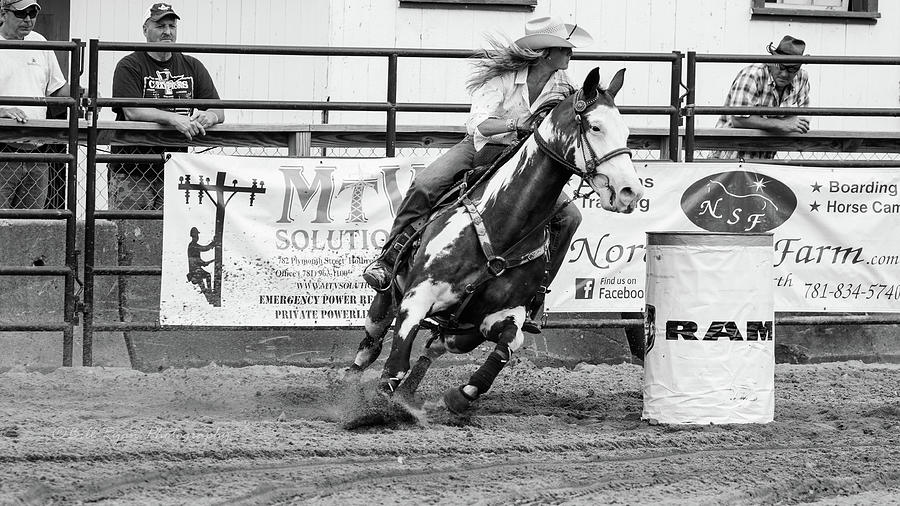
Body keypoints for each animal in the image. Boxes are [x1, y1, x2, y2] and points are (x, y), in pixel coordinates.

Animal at [348, 67, 644, 416]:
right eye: (596, 126)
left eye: (626, 133)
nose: (630, 192)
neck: (502, 221)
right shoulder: (415, 298)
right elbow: (395, 363)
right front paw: (375, 410)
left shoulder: (504, 314)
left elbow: (510, 343)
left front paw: (461, 395)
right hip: (386, 300)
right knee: (370, 345)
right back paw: (346, 386)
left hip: (462, 332)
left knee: (435, 346)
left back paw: (409, 395)